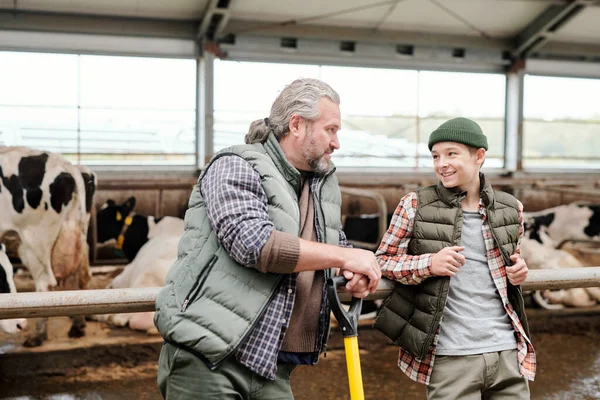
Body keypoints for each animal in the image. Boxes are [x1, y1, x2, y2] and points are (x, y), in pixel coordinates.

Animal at [0, 145, 94, 346]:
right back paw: (77, 325)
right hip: (77, 236)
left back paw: (38, 335)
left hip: (33, 243)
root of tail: (68, 166)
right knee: (81, 277)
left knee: (45, 284)